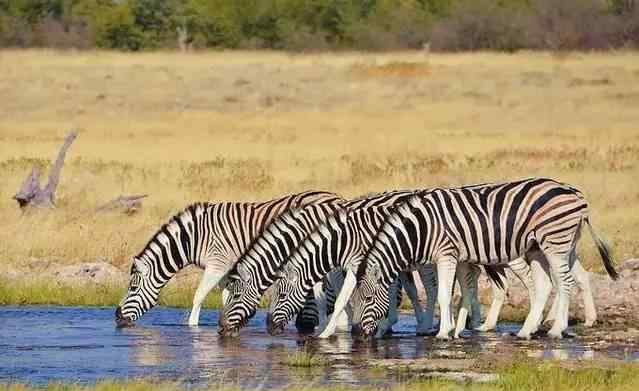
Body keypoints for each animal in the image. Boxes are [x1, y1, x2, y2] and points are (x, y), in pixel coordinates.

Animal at [115, 191, 344, 330]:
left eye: (132, 288)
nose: (116, 317)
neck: (194, 238)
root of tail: (335, 197)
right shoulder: (227, 269)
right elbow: (226, 298)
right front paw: (226, 321)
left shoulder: (216, 264)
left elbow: (198, 296)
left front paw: (192, 326)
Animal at [344, 178, 620, 340]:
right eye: (354, 299)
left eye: (367, 299)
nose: (357, 334)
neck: (422, 228)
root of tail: (577, 195)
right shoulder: (461, 257)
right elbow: (464, 293)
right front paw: (456, 328)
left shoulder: (446, 253)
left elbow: (444, 294)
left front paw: (443, 333)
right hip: (552, 246)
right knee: (555, 283)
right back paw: (529, 330)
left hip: (554, 242)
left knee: (564, 282)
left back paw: (555, 328)